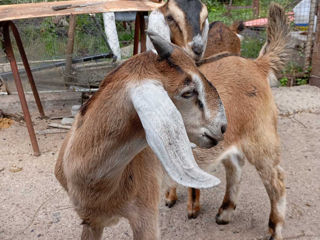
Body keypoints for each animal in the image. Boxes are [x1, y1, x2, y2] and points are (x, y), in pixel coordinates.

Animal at [165, 3, 290, 240]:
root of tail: (256, 65)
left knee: (276, 181)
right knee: (235, 167)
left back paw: (274, 229)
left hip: (261, 138)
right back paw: (225, 212)